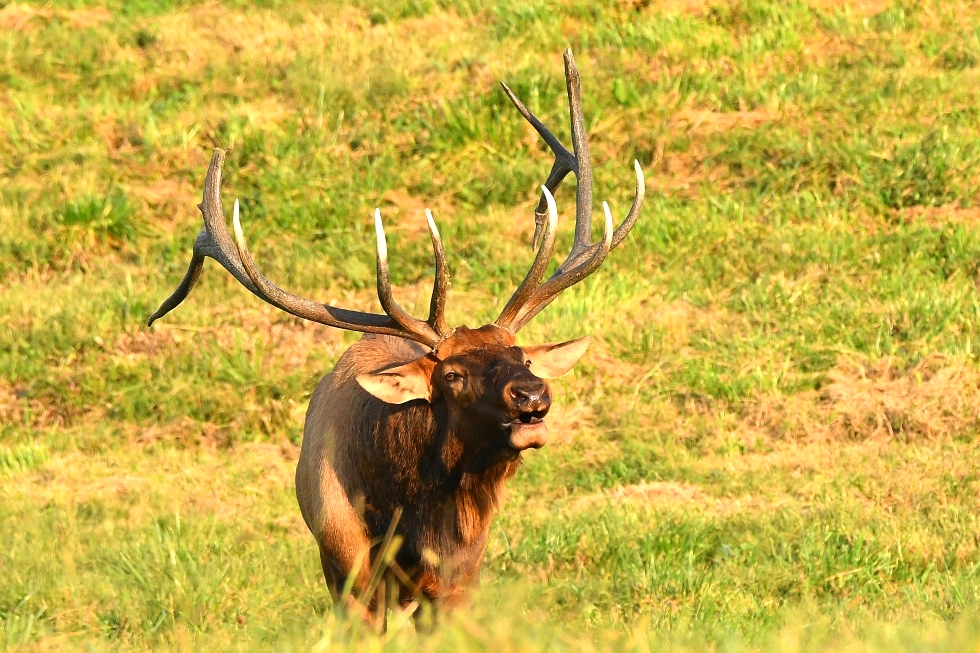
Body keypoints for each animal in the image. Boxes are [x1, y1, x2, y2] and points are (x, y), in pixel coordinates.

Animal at [147, 49, 644, 620]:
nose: (532, 395)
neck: (406, 518)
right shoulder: (347, 570)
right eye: (452, 374)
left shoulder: (459, 579)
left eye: (522, 355)